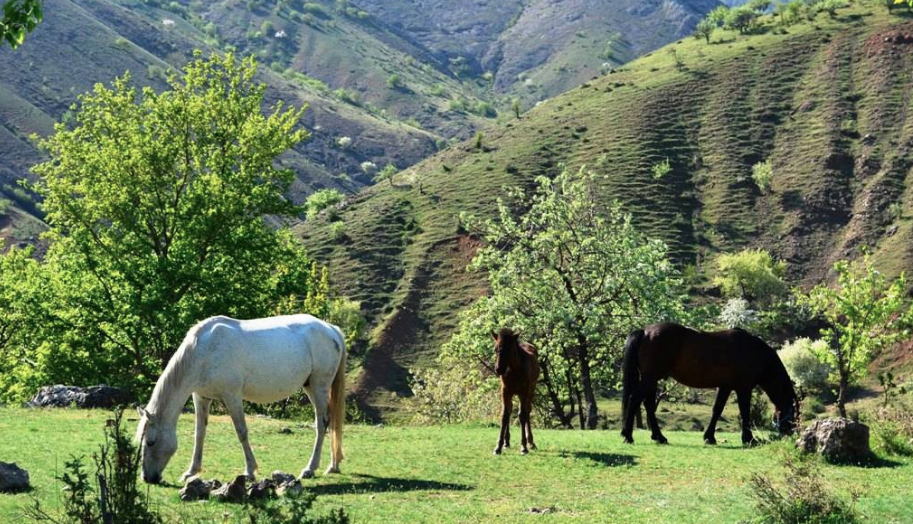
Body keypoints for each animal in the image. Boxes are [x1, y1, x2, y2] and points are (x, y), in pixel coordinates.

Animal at [134, 314, 346, 486]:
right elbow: (199, 433)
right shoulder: (201, 397)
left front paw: (250, 471)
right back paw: (333, 465)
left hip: (319, 387)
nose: (147, 478)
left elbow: (241, 432)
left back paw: (310, 469)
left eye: (151, 442)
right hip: (311, 387)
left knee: (322, 424)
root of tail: (331, 329)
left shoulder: (232, 396)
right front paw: (191, 472)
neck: (204, 350)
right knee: (330, 425)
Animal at [620, 324, 800, 446]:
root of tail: (645, 332)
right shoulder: (743, 388)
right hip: (650, 378)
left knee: (648, 405)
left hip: (652, 379)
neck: (754, 352)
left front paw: (709, 437)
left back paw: (659, 437)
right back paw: (628, 436)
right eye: (793, 416)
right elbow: (745, 412)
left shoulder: (726, 387)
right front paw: (749, 439)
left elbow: (717, 410)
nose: (792, 435)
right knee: (635, 399)